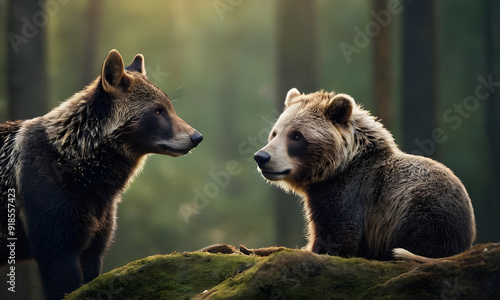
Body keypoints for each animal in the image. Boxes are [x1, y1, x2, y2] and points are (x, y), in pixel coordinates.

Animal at [254, 88, 476, 260]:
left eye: (296, 136)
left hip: (422, 211)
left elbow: (337, 237)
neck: (335, 169)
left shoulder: (348, 194)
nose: (261, 157)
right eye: (275, 133)